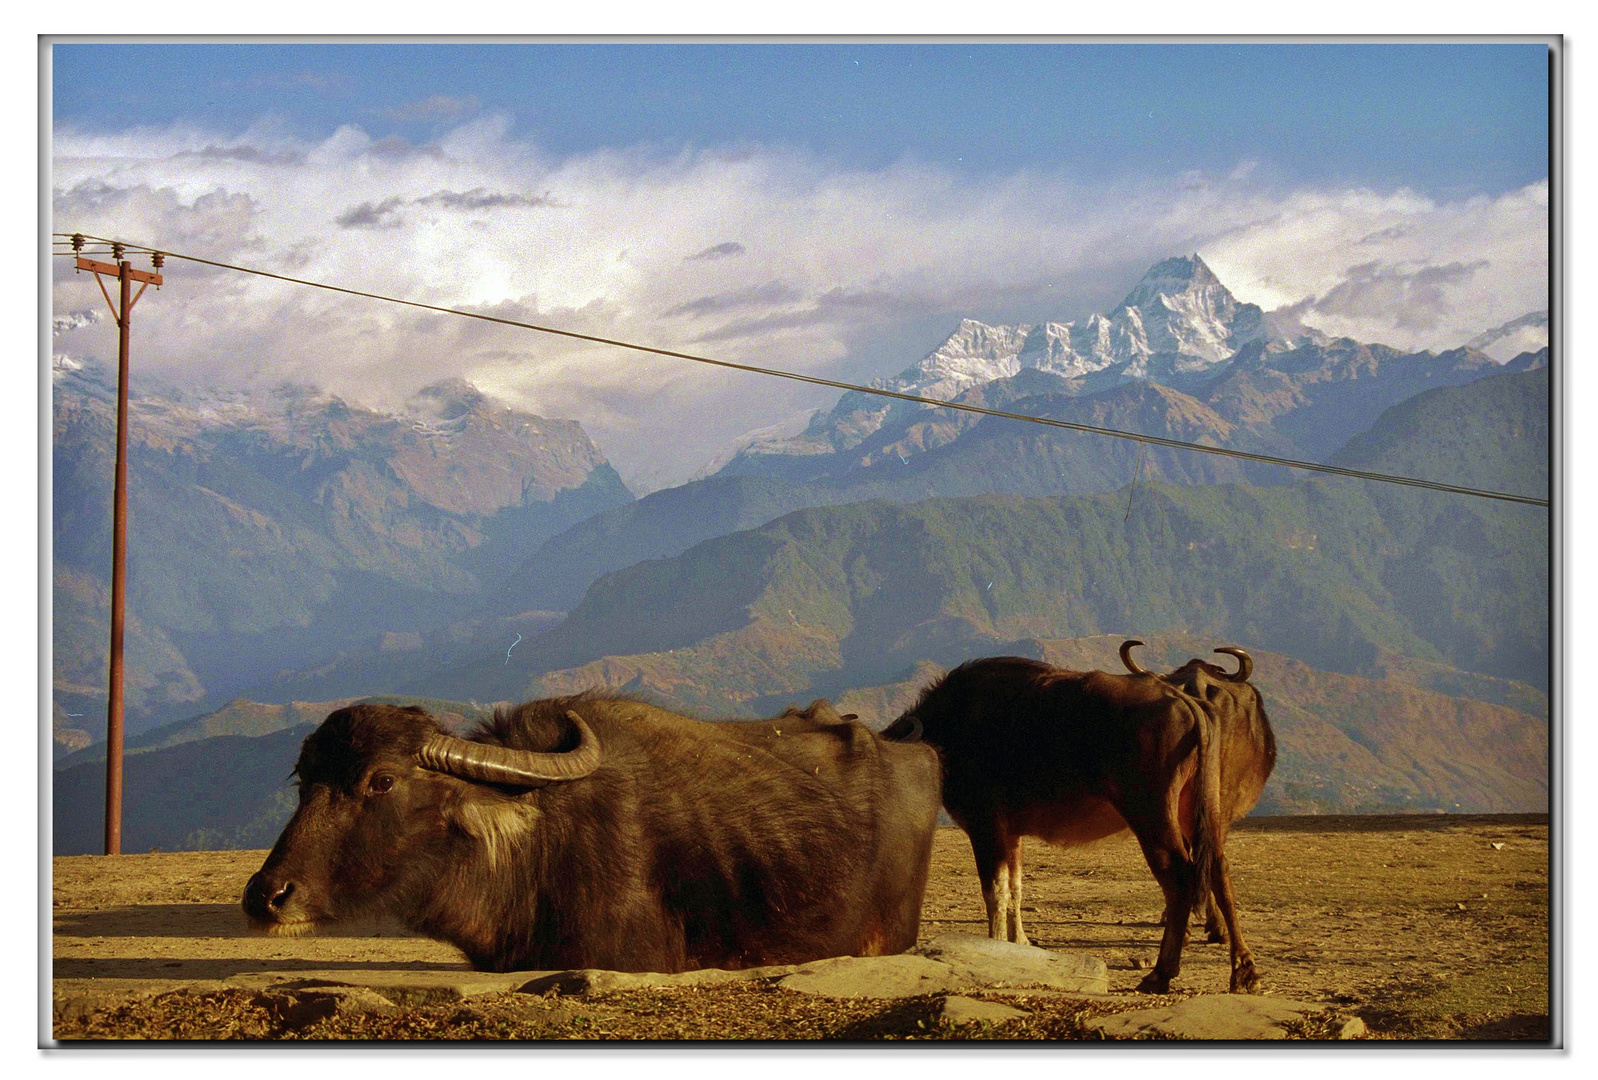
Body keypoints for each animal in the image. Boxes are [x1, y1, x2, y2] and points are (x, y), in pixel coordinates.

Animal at [882, 642, 1278, 996]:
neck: (950, 729)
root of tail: (1186, 702)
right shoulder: (1011, 834)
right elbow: (1015, 888)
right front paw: (1019, 943)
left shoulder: (986, 828)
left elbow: (995, 890)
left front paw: (995, 945)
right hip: (1203, 811)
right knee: (1219, 871)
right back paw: (1244, 971)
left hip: (1152, 816)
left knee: (1180, 879)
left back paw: (1160, 974)